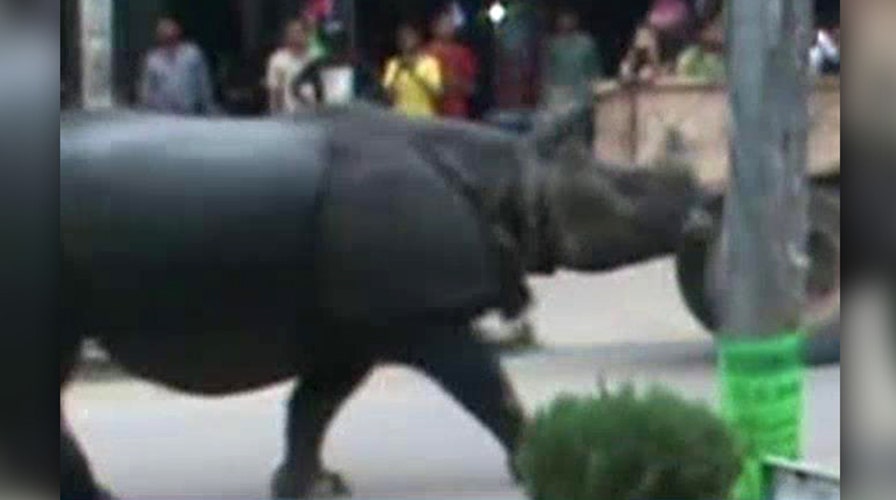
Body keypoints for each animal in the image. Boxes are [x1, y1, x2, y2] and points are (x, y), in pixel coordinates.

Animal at [49, 103, 701, 500]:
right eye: (629, 193)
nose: (706, 212)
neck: (512, 173)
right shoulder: (421, 315)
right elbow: (488, 388)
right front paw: (541, 465)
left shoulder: (359, 324)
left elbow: (314, 406)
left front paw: (312, 486)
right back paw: (95, 494)